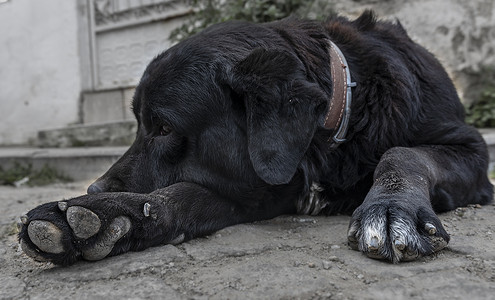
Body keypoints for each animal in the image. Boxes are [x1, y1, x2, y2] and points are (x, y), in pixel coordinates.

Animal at [17, 11, 494, 264]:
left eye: (164, 128)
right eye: (139, 124)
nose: (94, 189)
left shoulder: (469, 149)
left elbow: (403, 153)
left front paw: (393, 207)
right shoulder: (258, 188)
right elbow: (181, 196)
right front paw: (107, 216)